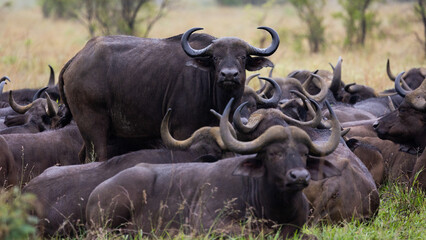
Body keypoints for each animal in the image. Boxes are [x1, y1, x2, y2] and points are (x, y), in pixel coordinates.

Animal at [59, 26, 280, 163]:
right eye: (216, 58)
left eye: (242, 57)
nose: (229, 75)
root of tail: (76, 59)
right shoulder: (182, 132)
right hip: (93, 127)